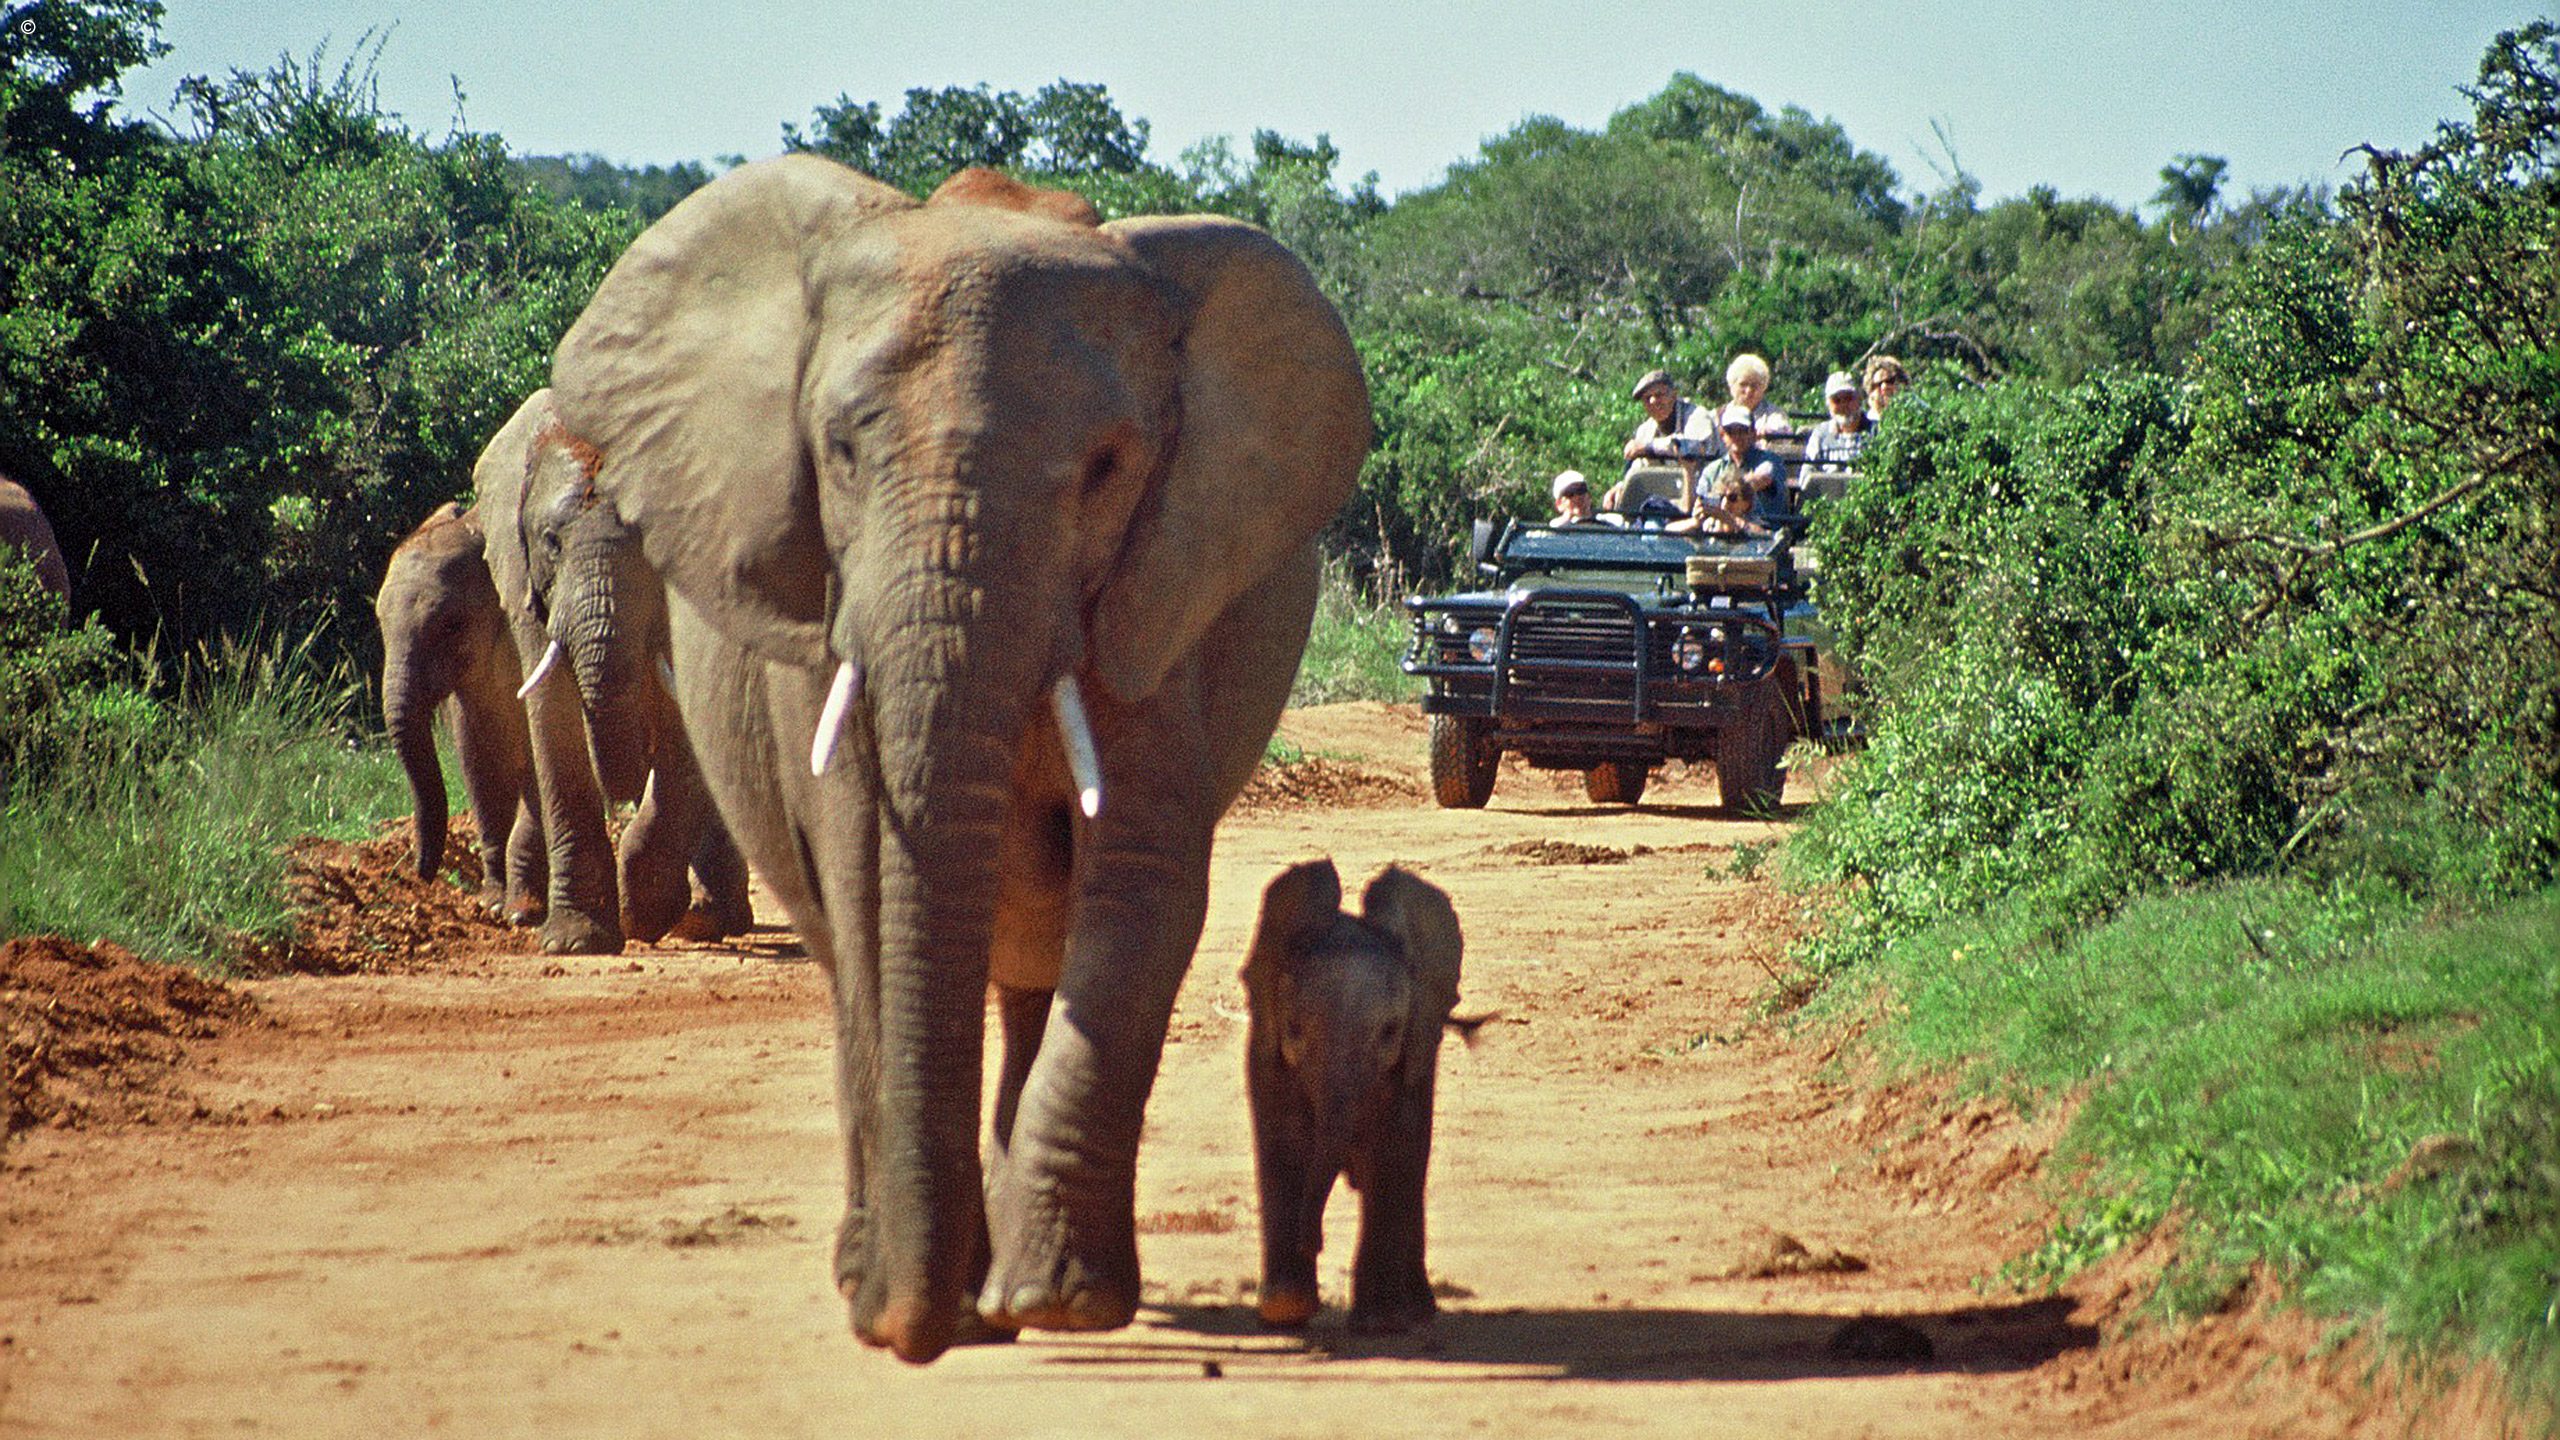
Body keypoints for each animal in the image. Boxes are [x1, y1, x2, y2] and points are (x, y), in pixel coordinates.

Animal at [373, 502, 546, 923]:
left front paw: (518, 913)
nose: (418, 876)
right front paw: (492, 904)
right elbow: (478, 764)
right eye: (380, 622)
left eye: (452, 626)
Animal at [475, 390, 753, 951]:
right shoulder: (527, 585)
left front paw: (644, 916)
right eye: (551, 541)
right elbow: (553, 718)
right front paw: (574, 942)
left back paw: (705, 922)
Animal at [546, 155, 1370, 1361]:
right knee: (851, 959)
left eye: (1108, 469)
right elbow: (864, 873)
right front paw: (915, 1300)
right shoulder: (828, 617)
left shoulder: (1158, 594)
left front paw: (1057, 1303)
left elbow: (1142, 880)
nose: (910, 1330)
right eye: (839, 450)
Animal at [1241, 859, 1463, 1336]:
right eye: (1294, 1029)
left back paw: (1417, 1311)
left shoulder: (1415, 1054)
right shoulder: (1266, 1046)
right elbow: (1285, 1141)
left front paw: (1382, 1322)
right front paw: (1286, 1308)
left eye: (1390, 1031)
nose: (1315, 1243)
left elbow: (1395, 1148)